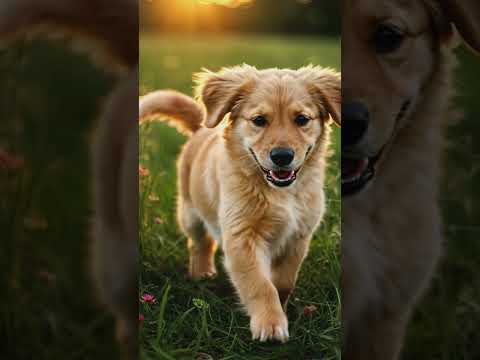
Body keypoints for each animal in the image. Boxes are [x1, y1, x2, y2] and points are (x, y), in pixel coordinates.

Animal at [139, 64, 342, 344]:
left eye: (302, 119)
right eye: (259, 120)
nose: (282, 156)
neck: (278, 191)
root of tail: (202, 128)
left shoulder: (298, 236)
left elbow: (283, 281)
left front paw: (281, 308)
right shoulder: (241, 235)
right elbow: (260, 285)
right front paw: (270, 323)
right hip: (190, 212)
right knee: (200, 243)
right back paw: (202, 272)